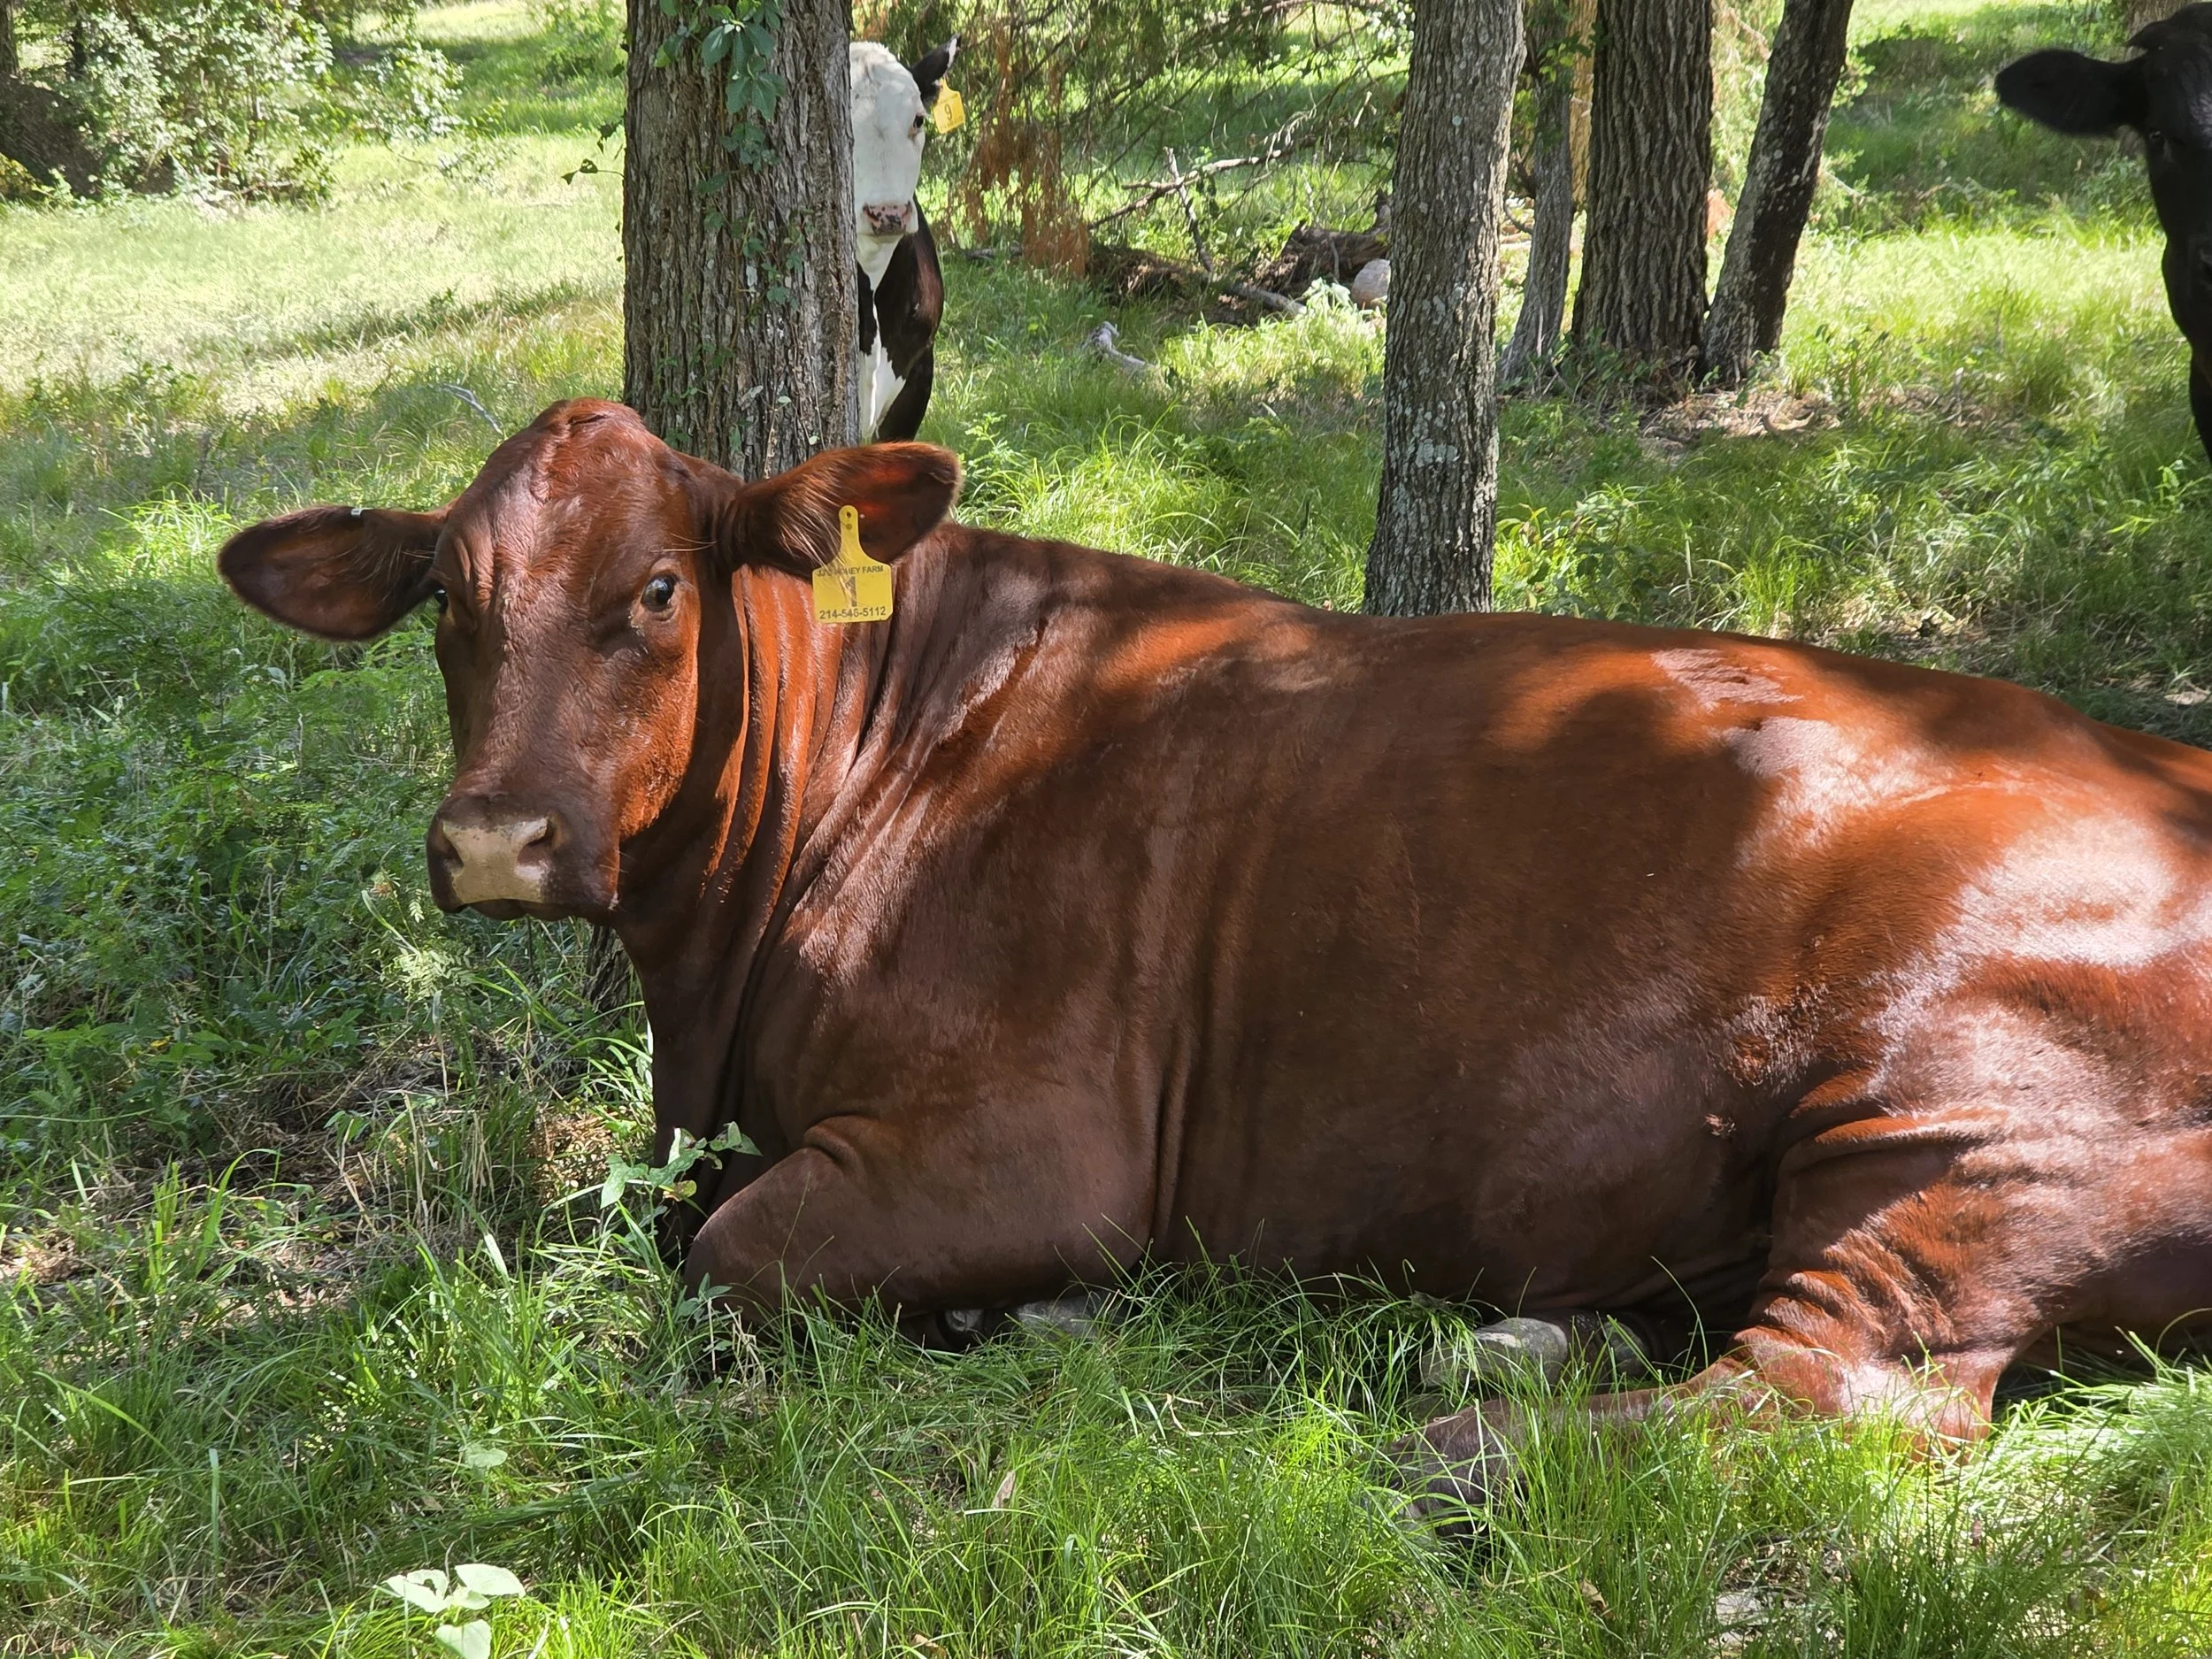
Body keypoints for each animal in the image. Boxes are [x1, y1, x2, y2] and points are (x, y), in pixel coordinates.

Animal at [217, 399, 2212, 1513]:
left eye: (653, 589)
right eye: (447, 602)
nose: (493, 838)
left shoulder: (1031, 1139)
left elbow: (720, 1253)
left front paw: (1048, 1312)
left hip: (1951, 1113)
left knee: (1838, 1395)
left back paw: (1430, 1454)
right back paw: (1502, 1347)